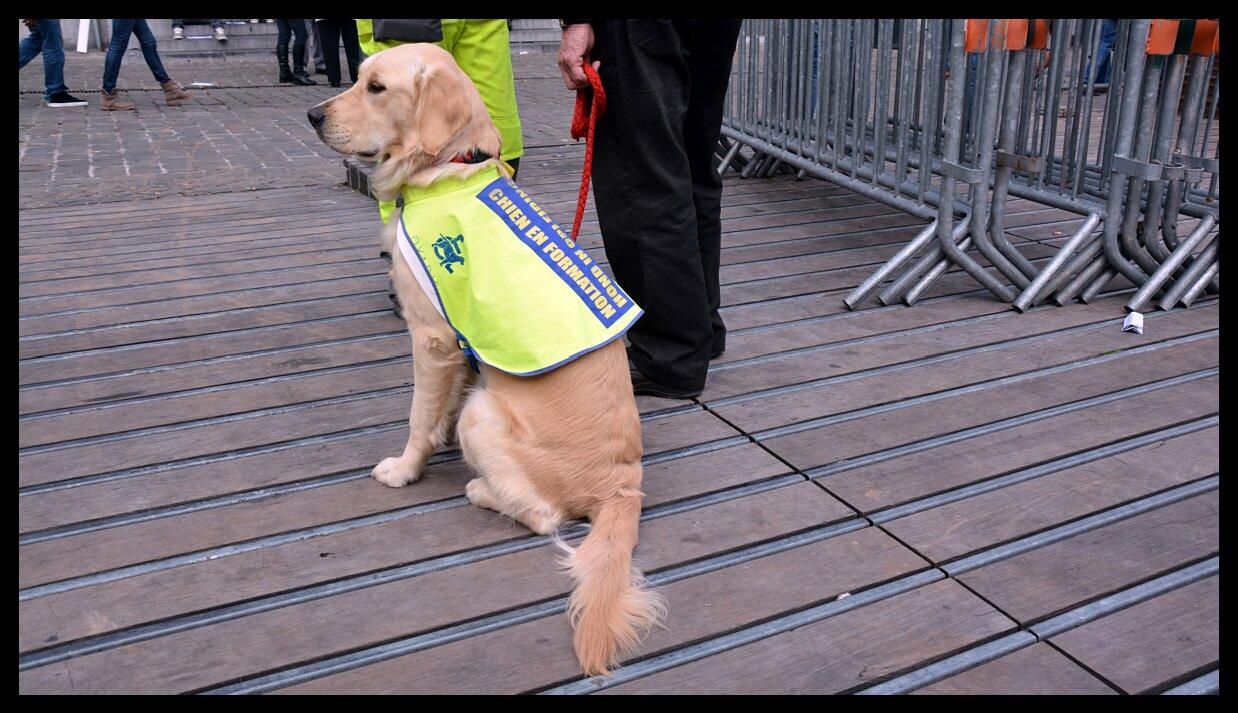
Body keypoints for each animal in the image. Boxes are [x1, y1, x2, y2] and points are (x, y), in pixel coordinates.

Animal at [305, 41, 663, 678]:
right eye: (358, 77)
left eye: (377, 87)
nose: (312, 116)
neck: (446, 168)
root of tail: (625, 486)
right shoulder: (459, 343)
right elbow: (440, 407)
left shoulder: (429, 337)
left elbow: (418, 418)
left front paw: (405, 469)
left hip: (488, 414)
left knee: (545, 515)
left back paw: (480, 490)